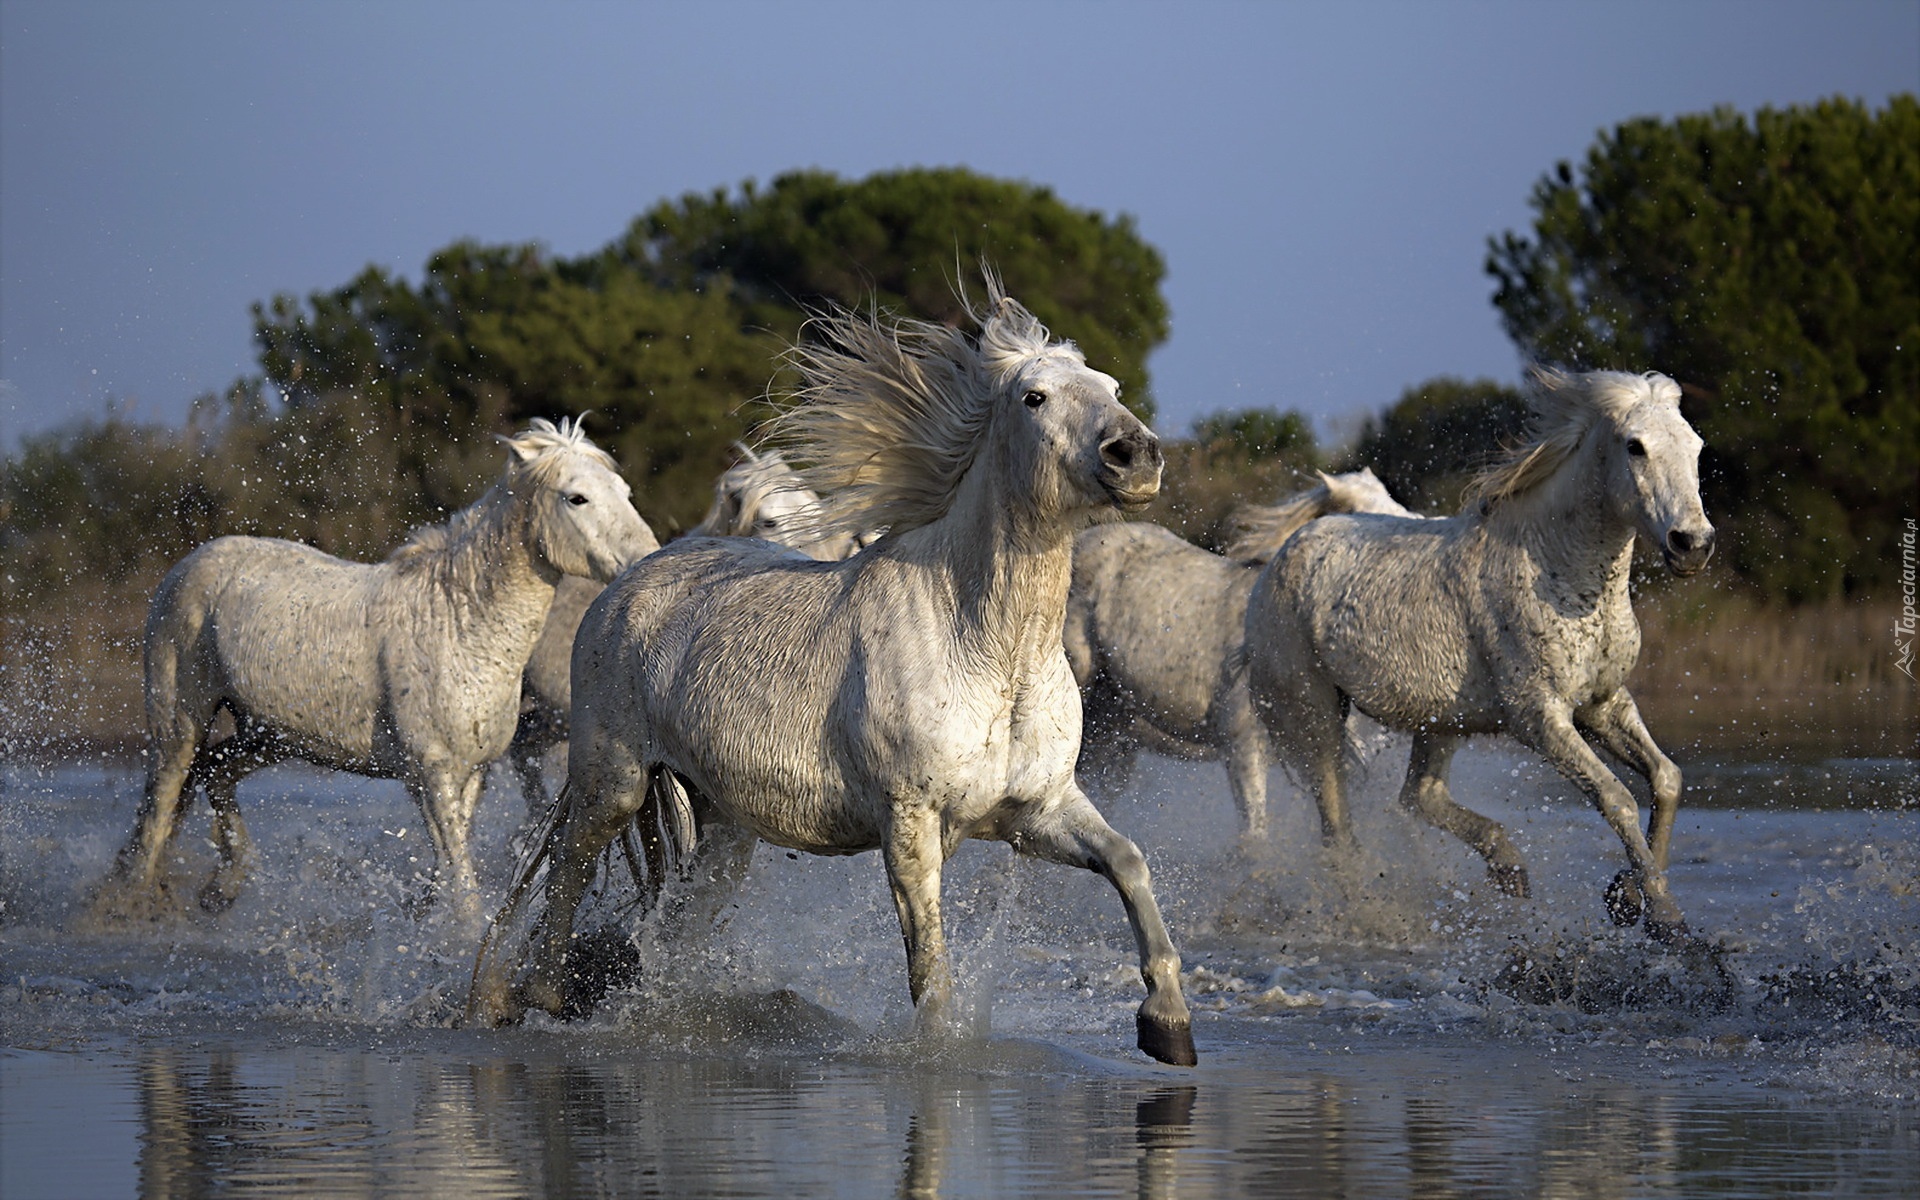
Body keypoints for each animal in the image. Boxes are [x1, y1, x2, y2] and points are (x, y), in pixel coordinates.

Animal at [99, 418, 660, 917]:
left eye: (624, 491)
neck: (459, 623)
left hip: (270, 736)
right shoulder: (432, 773)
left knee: (214, 774)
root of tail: (187, 566)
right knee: (159, 813)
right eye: (576, 497)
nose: (646, 559)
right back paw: (136, 908)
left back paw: (224, 887)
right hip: (179, 724)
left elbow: (448, 871)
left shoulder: (470, 773)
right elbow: (461, 886)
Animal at [1236, 370, 1720, 940]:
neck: (1555, 570)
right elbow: (1615, 797)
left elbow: (1666, 780)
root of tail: (1289, 551)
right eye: (1635, 446)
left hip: (1441, 721)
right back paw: (1366, 914)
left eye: (1696, 446)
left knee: (1419, 796)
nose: (1692, 544)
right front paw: (1663, 916)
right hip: (1315, 716)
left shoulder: (1603, 703)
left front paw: (1628, 896)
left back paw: (1509, 870)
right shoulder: (1540, 718)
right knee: (1339, 827)